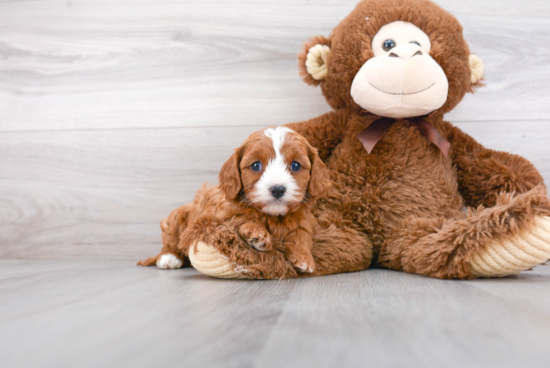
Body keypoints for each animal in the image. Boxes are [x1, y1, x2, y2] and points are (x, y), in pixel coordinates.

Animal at [138, 126, 332, 274]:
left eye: (296, 165)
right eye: (256, 165)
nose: (277, 189)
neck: (273, 216)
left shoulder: (303, 220)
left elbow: (301, 235)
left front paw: (303, 257)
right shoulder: (219, 216)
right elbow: (239, 218)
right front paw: (256, 233)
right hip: (178, 216)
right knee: (172, 242)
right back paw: (169, 258)